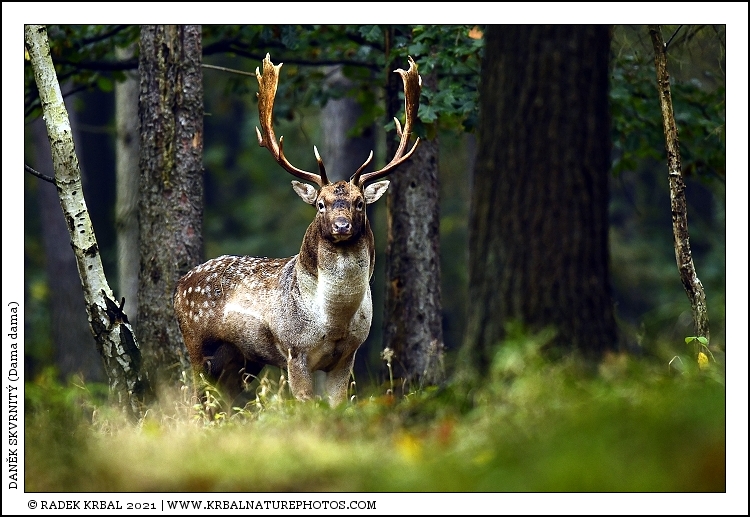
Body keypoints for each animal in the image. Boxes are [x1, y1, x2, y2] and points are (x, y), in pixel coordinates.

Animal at [174, 53, 421, 408]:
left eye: (360, 203)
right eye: (320, 204)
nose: (342, 225)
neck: (333, 320)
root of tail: (179, 286)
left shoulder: (348, 356)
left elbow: (337, 406)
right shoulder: (295, 350)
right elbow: (305, 405)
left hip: (242, 359)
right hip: (196, 343)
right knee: (196, 398)